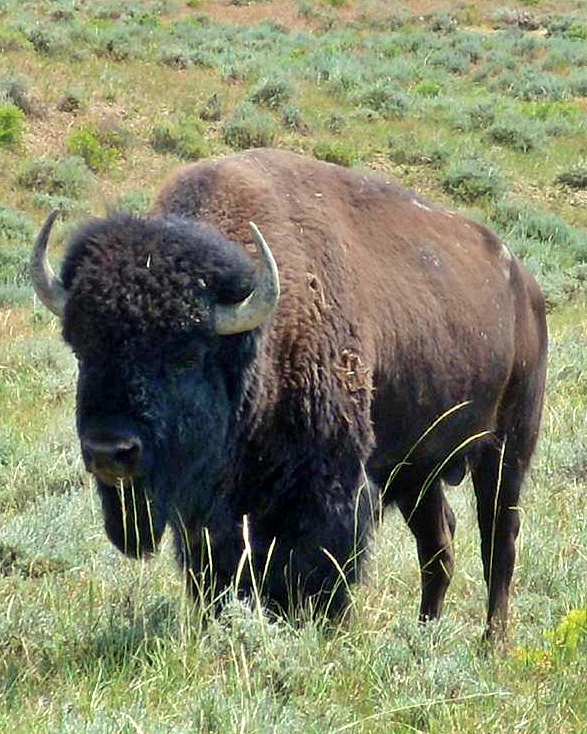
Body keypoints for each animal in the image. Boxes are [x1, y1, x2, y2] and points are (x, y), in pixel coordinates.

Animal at [31, 148, 547, 636]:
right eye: (82, 349)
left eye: (185, 355)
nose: (109, 451)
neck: (257, 342)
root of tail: (526, 287)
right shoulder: (214, 513)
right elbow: (219, 573)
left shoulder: (328, 488)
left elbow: (313, 572)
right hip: (418, 470)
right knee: (439, 543)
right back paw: (425, 632)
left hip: (505, 450)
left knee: (499, 540)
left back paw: (491, 641)